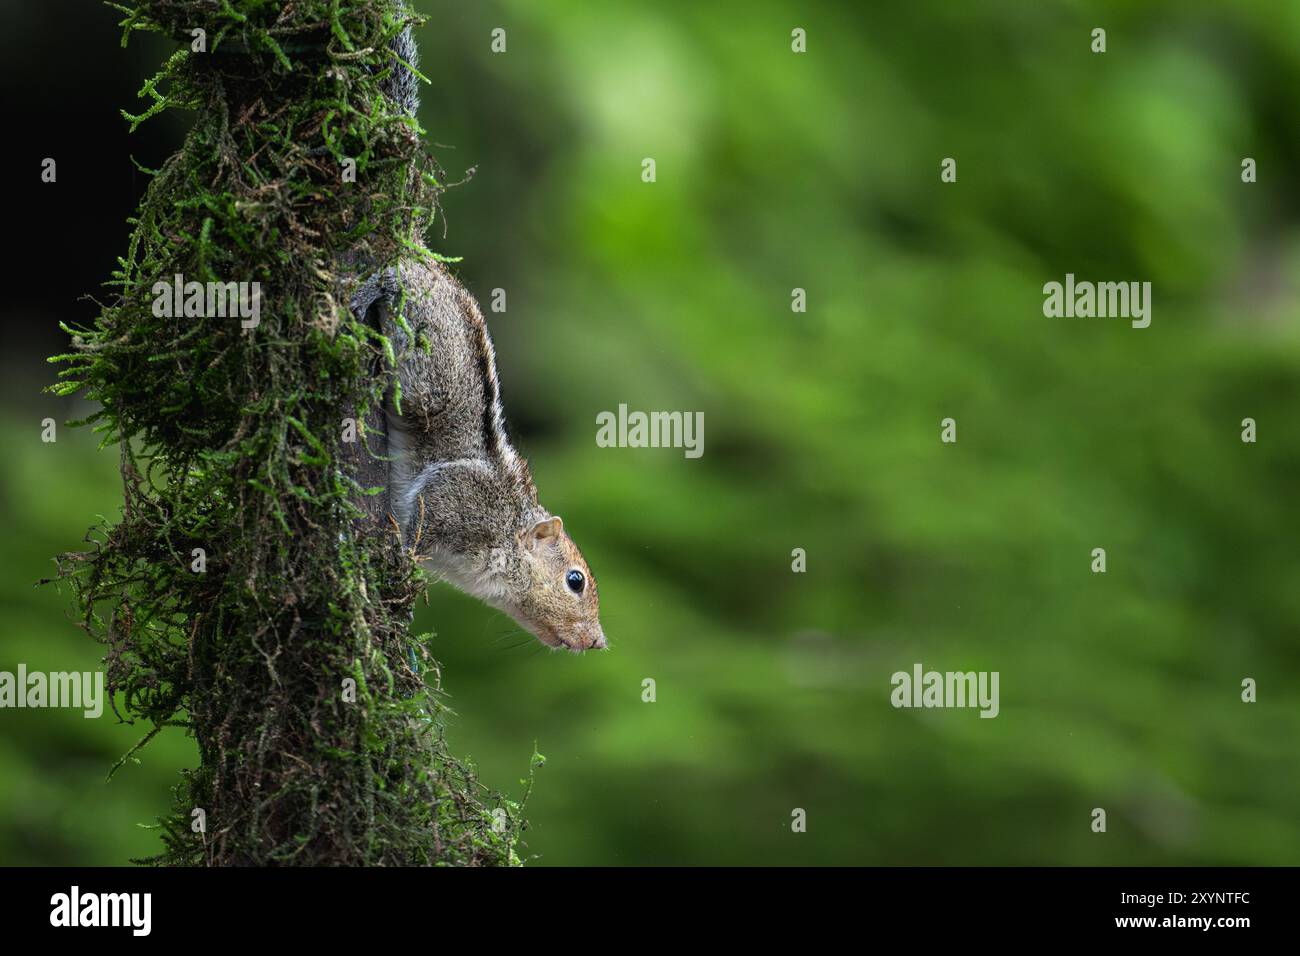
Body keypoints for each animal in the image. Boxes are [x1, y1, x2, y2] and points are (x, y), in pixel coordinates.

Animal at [352, 21, 606, 653]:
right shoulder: (456, 502)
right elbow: (417, 522)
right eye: (574, 580)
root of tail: (424, 257)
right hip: (422, 360)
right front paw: (397, 561)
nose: (597, 642)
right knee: (389, 284)